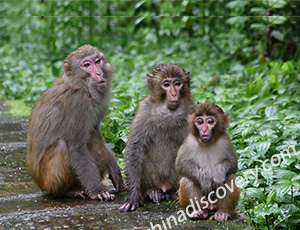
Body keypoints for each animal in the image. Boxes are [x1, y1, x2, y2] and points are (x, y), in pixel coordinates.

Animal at [25, 44, 123, 199]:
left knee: (93, 132)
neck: (81, 84)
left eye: (97, 61)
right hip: (47, 181)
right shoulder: (78, 103)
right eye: (86, 65)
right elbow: (77, 148)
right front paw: (98, 191)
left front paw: (114, 170)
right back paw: (67, 191)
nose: (98, 73)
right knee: (62, 145)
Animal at [119, 61, 195, 212]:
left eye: (177, 83)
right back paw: (151, 191)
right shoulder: (145, 110)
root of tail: (164, 186)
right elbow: (135, 147)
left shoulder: (192, 110)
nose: (173, 93)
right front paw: (133, 197)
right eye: (166, 84)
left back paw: (175, 192)